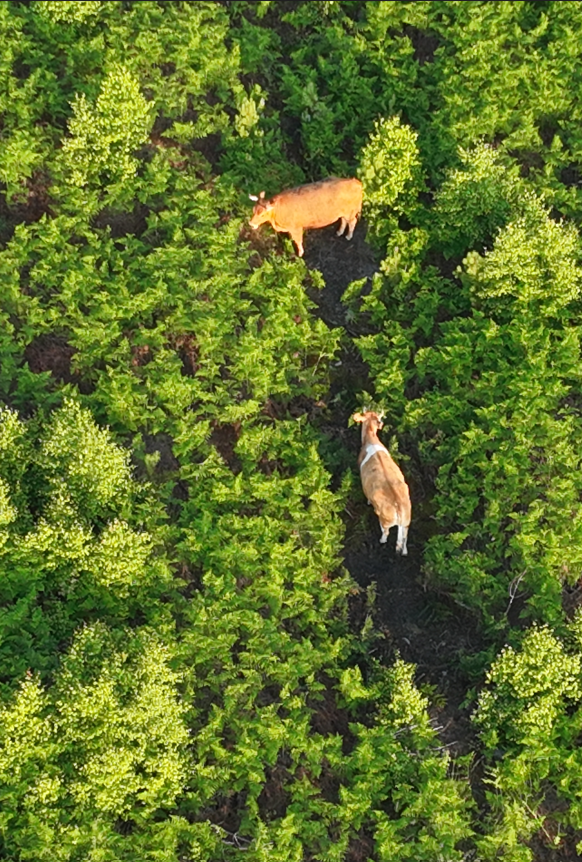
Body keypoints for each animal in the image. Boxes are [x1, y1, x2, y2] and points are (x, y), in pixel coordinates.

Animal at [352, 411, 411, 554]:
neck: (371, 439)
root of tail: (398, 506)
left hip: (385, 520)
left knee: (386, 532)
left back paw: (382, 540)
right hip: (407, 521)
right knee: (405, 537)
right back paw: (404, 551)